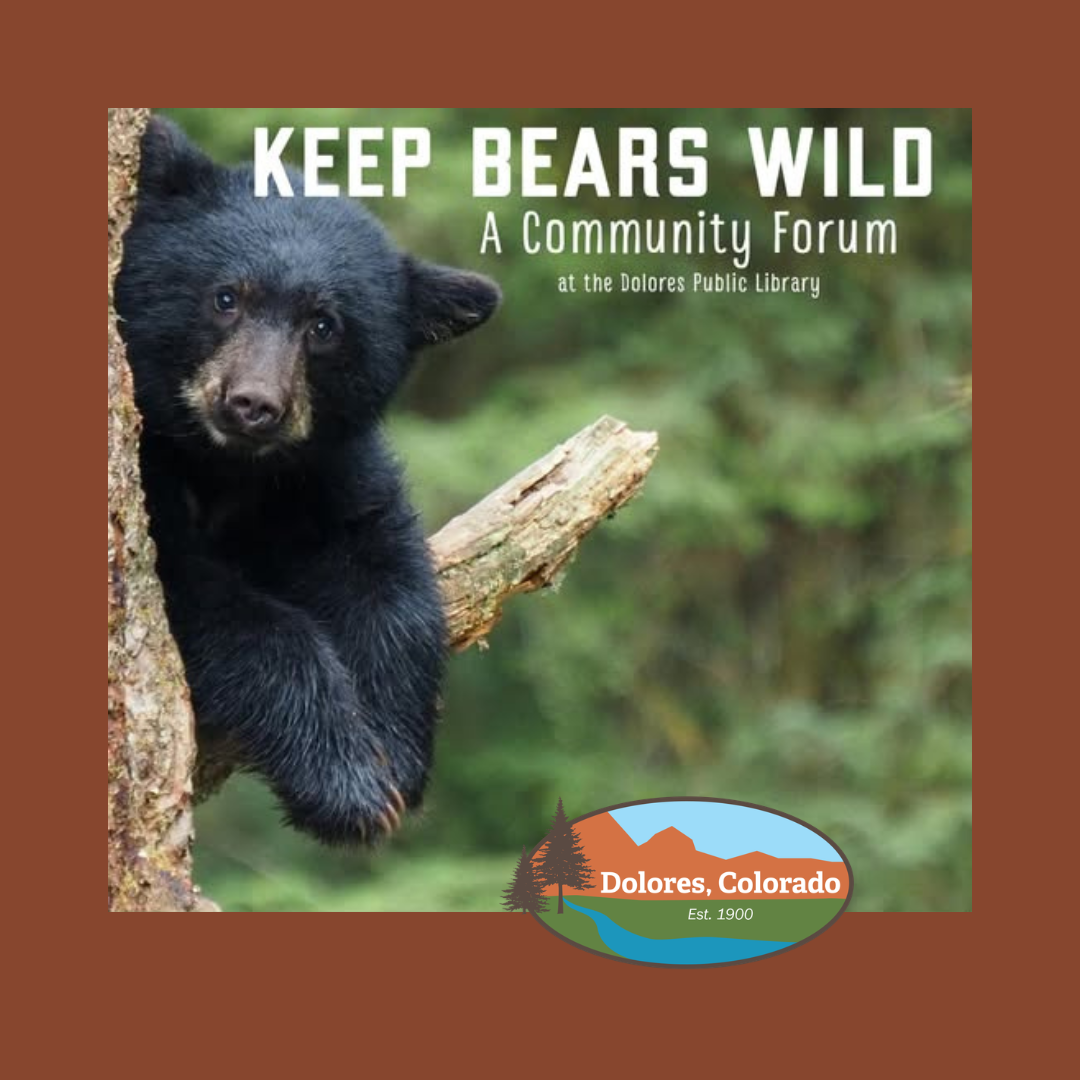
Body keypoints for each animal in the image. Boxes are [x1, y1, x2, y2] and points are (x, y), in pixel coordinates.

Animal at [114, 116, 500, 844]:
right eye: (226, 297)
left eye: (324, 326)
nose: (252, 405)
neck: (226, 466)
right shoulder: (153, 481)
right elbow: (223, 607)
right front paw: (347, 783)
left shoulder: (323, 469)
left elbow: (380, 566)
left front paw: (396, 751)